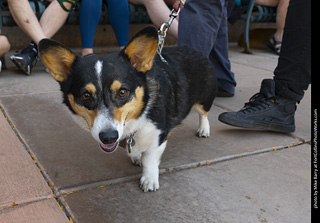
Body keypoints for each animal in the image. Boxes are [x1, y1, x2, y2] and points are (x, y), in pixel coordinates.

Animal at [38, 26, 218, 193]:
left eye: (122, 92)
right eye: (86, 95)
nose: (108, 137)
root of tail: (195, 50)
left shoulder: (159, 135)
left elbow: (150, 159)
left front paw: (149, 180)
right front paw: (137, 157)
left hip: (204, 99)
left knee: (204, 114)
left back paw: (204, 129)